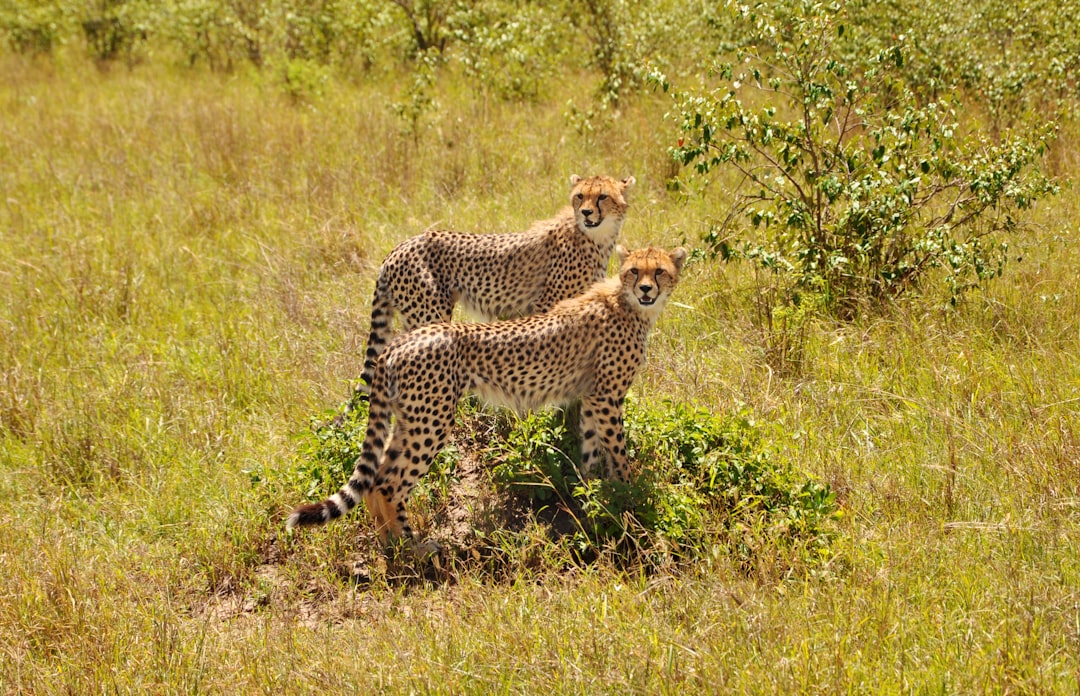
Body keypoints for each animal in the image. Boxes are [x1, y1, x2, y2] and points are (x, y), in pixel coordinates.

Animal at [287, 245, 687, 550]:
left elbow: (589, 452)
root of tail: (398, 343)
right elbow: (618, 454)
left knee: (376, 476)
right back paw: (412, 548)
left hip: (411, 418)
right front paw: (629, 497)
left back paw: (389, 545)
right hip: (432, 421)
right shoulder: (607, 397)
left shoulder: (591, 398)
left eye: (659, 271)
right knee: (388, 483)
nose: (646, 289)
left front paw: (589, 500)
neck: (628, 304)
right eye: (634, 271)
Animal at [350, 174, 636, 403]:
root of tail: (397, 248)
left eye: (602, 197)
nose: (586, 213)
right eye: (580, 196)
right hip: (429, 314)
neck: (595, 238)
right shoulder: (548, 305)